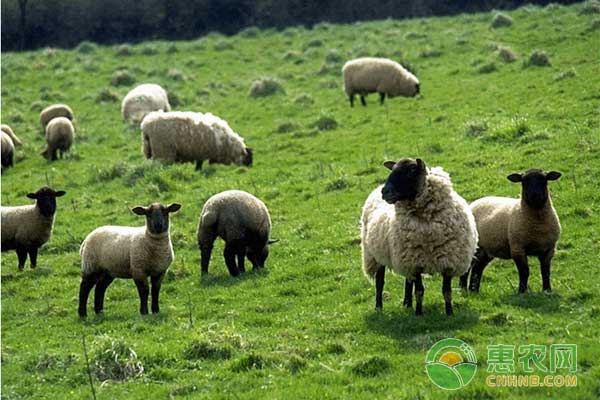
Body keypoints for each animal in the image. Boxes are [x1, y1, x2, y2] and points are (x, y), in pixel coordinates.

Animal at [360, 158, 478, 318]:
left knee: (408, 281)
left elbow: (446, 291)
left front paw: (449, 313)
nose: (384, 192)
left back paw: (407, 304)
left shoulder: (447, 261)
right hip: (376, 255)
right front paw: (419, 314)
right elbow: (420, 291)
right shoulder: (415, 263)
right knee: (380, 282)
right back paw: (379, 307)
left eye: (410, 170)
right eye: (392, 170)